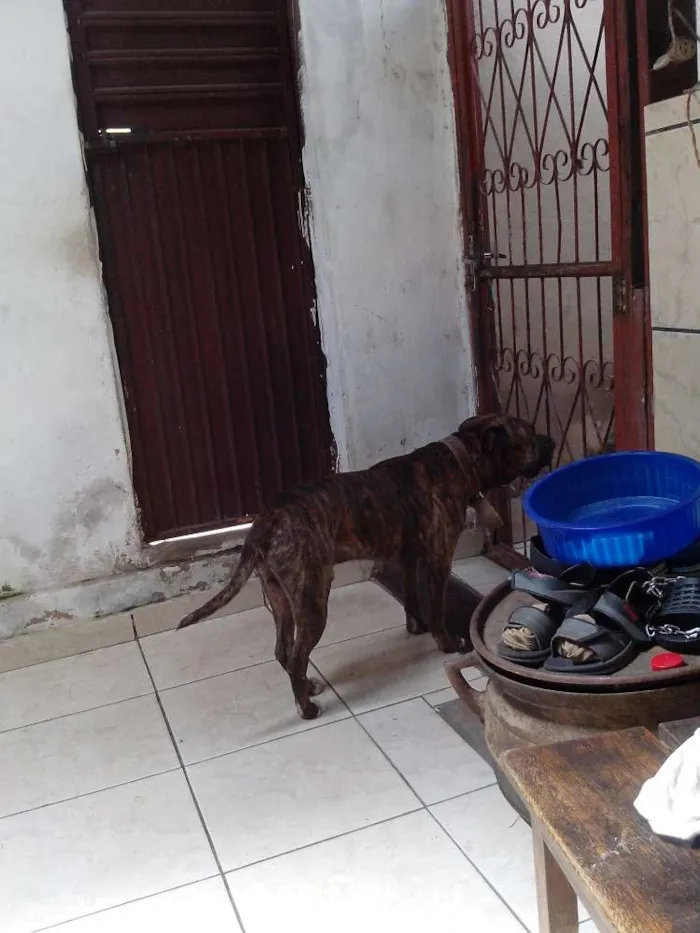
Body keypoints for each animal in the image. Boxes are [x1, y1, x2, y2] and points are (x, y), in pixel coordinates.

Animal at [179, 416, 552, 720]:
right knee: (297, 656)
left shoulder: (408, 558)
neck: (461, 461)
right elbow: (437, 607)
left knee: (284, 651)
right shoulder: (437, 561)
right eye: (529, 434)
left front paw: (415, 626)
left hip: (280, 598)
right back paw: (306, 708)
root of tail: (265, 524)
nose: (549, 440)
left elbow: (413, 598)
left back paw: (307, 687)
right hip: (312, 599)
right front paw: (445, 641)